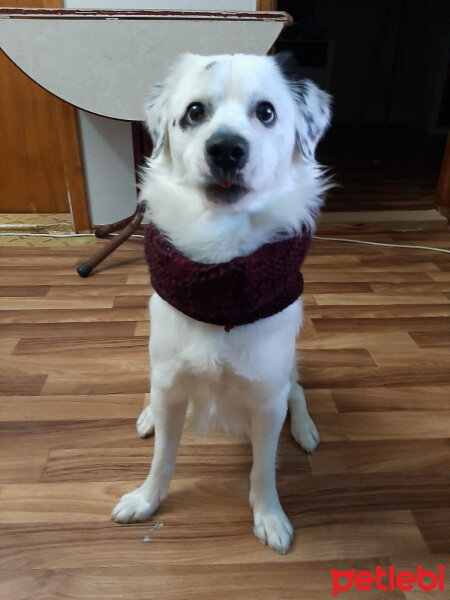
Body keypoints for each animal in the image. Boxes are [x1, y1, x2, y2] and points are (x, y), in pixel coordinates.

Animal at [111, 51, 330, 552]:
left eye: (266, 112)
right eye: (194, 112)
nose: (226, 149)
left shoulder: (267, 399)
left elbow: (263, 470)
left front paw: (269, 515)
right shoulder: (171, 382)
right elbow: (162, 458)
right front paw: (146, 499)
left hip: (287, 370)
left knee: (298, 390)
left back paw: (305, 427)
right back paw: (148, 415)